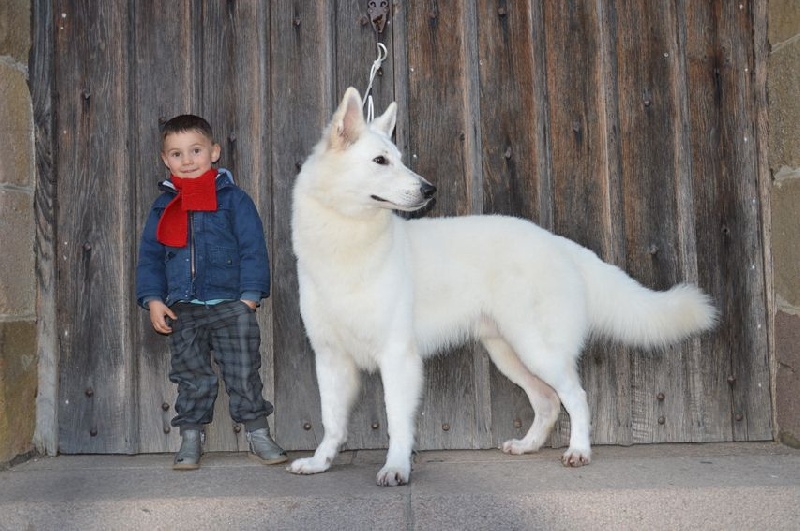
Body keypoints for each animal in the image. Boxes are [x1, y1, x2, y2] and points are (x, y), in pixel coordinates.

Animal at [288, 89, 720, 488]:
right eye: (380, 161)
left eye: (399, 157)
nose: (429, 189)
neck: (346, 240)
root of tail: (561, 245)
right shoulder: (330, 359)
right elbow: (331, 421)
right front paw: (321, 462)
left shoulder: (397, 356)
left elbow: (397, 421)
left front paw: (396, 468)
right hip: (508, 352)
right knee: (548, 402)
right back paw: (528, 446)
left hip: (537, 350)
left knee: (576, 397)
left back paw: (579, 451)